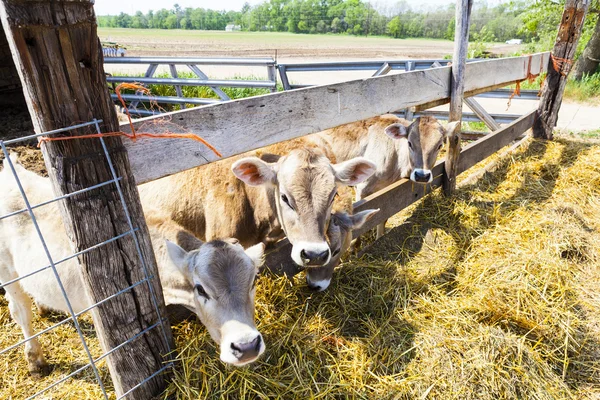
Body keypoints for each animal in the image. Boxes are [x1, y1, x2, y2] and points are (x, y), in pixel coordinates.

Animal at [314, 114, 460, 238]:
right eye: (409, 143)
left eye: (440, 145)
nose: (422, 176)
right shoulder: (362, 189)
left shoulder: (387, 193)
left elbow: (383, 218)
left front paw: (379, 237)